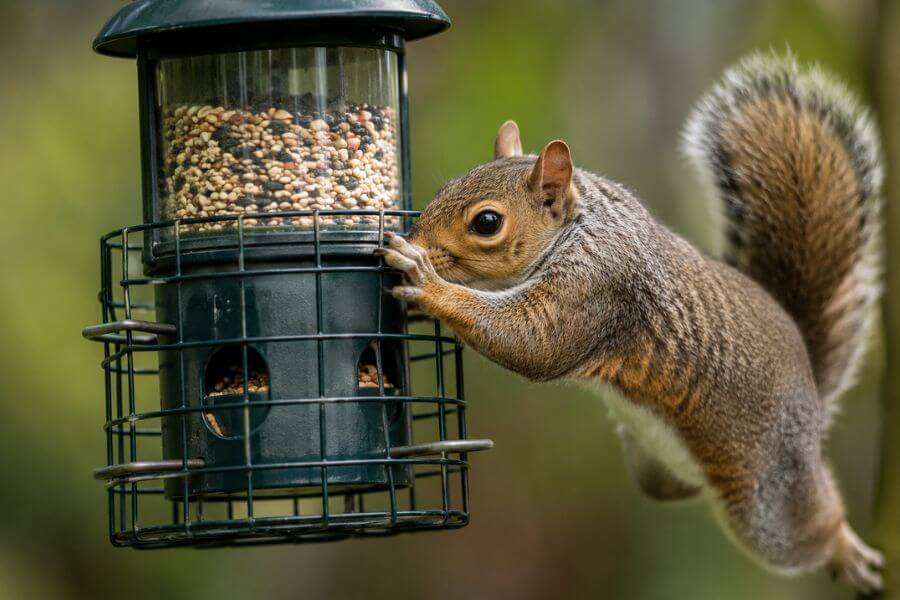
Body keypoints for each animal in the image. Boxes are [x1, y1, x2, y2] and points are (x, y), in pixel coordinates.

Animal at [375, 53, 884, 593]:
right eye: (444, 188)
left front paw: (426, 282)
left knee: (813, 522)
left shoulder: (600, 285)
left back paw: (848, 550)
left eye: (487, 223)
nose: (414, 238)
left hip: (769, 496)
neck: (579, 224)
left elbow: (535, 342)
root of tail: (813, 388)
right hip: (656, 471)